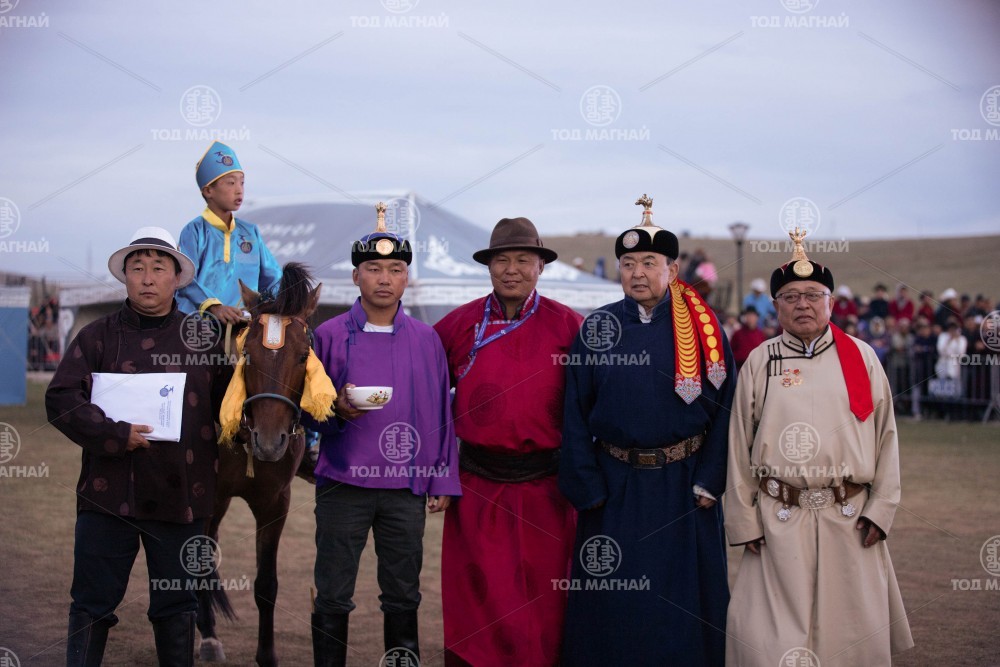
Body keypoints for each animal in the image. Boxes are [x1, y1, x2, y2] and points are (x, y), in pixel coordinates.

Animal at [197, 262, 322, 666]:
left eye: (303, 355)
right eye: (247, 354)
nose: (269, 442)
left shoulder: (275, 502)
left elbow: (267, 584)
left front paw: (266, 655)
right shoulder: (205, 497)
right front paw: (207, 637)